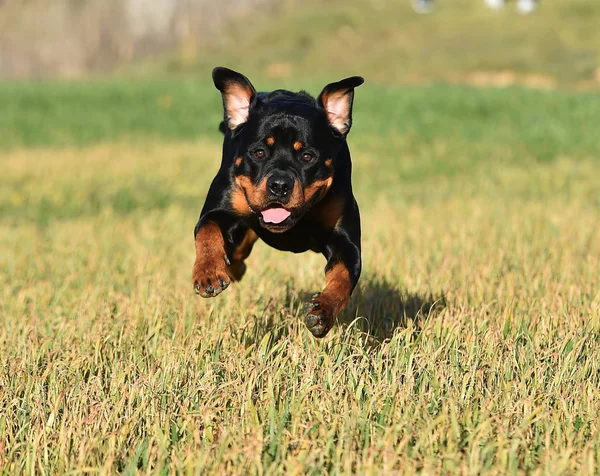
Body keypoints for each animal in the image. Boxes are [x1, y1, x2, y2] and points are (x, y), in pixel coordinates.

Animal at [192, 67, 364, 336]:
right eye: (259, 152)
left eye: (307, 156)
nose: (280, 185)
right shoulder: (219, 211)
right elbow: (208, 231)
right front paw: (208, 273)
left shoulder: (345, 241)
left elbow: (342, 276)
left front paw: (323, 310)